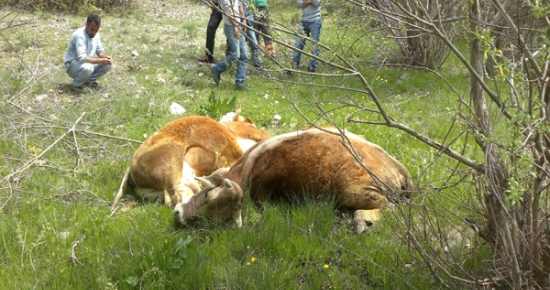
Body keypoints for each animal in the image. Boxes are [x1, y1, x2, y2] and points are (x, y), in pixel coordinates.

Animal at [174, 127, 414, 233]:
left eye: (208, 196)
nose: (179, 215)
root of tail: (397, 165)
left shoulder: (263, 189)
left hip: (354, 190)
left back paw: (360, 221)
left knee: (391, 208)